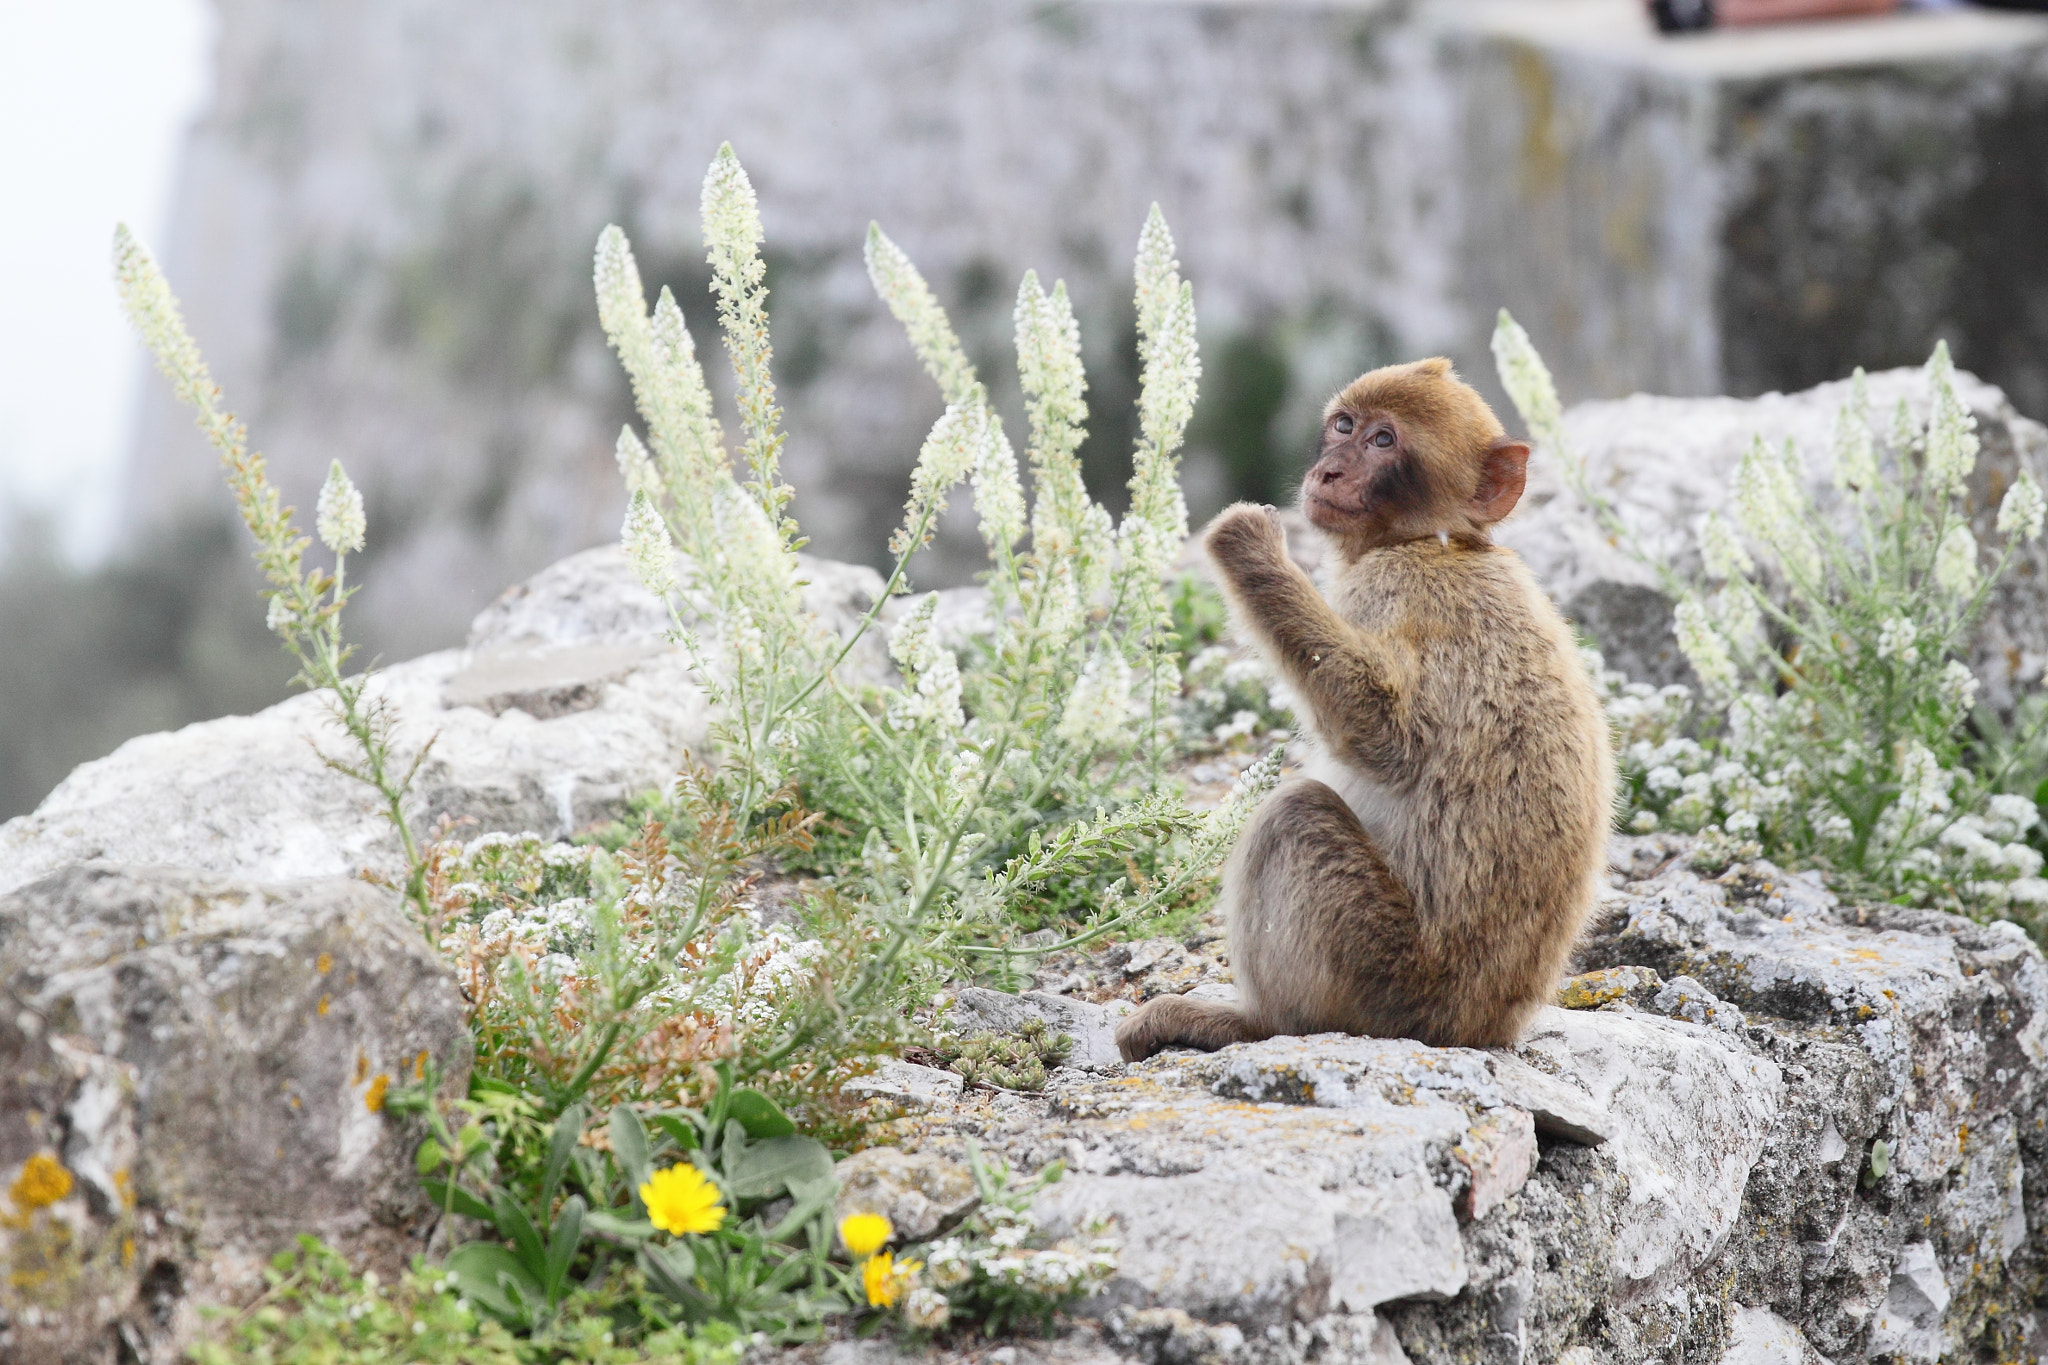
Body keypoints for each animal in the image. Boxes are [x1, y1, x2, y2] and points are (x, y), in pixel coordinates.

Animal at [1114, 357, 1615, 1062]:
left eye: (1384, 441)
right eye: (1345, 426)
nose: (1330, 471)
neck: (1433, 540)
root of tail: (1478, 1028)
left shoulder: (1394, 588)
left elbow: (1386, 738)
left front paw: (1249, 548)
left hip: (1383, 976)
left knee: (1294, 815)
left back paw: (1257, 1023)